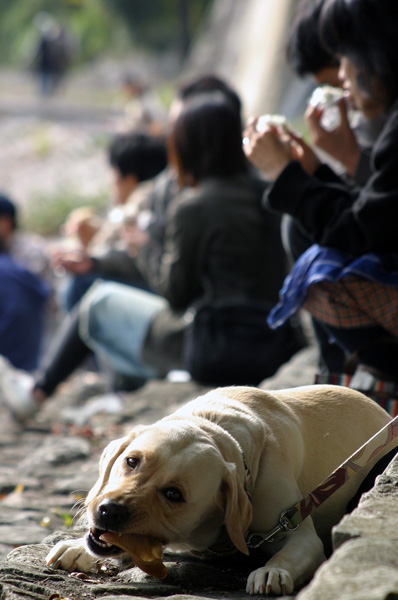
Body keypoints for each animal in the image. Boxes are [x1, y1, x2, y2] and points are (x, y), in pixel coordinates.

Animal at [45, 384, 394, 596]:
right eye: (132, 461)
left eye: (174, 494)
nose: (108, 511)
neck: (214, 427)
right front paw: (76, 546)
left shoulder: (299, 531)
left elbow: (291, 552)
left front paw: (272, 571)